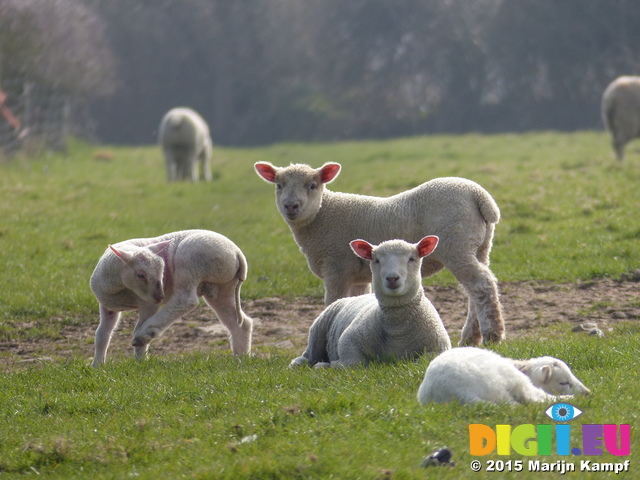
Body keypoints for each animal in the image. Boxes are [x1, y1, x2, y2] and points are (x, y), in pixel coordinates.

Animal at [255, 161, 504, 344]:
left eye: (312, 185)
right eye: (278, 185)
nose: (291, 206)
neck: (321, 216)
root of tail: (478, 194)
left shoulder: (336, 266)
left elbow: (334, 302)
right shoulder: (356, 275)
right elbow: (354, 303)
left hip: (456, 244)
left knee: (481, 283)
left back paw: (492, 334)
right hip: (480, 245)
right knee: (478, 288)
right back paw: (471, 337)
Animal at [288, 235, 450, 368]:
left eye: (411, 259)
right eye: (376, 260)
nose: (392, 278)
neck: (397, 331)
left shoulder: (439, 348)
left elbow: (422, 362)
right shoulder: (348, 341)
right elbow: (355, 363)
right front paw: (329, 364)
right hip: (318, 330)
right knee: (308, 356)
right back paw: (298, 364)